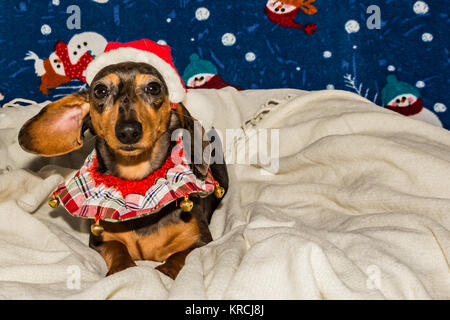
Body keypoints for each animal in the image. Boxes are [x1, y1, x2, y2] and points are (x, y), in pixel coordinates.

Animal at [18, 62, 229, 278]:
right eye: (100, 90)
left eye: (153, 87)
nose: (128, 131)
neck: (137, 182)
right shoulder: (101, 240)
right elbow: (117, 249)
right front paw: (122, 269)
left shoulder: (200, 241)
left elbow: (179, 256)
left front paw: (165, 271)